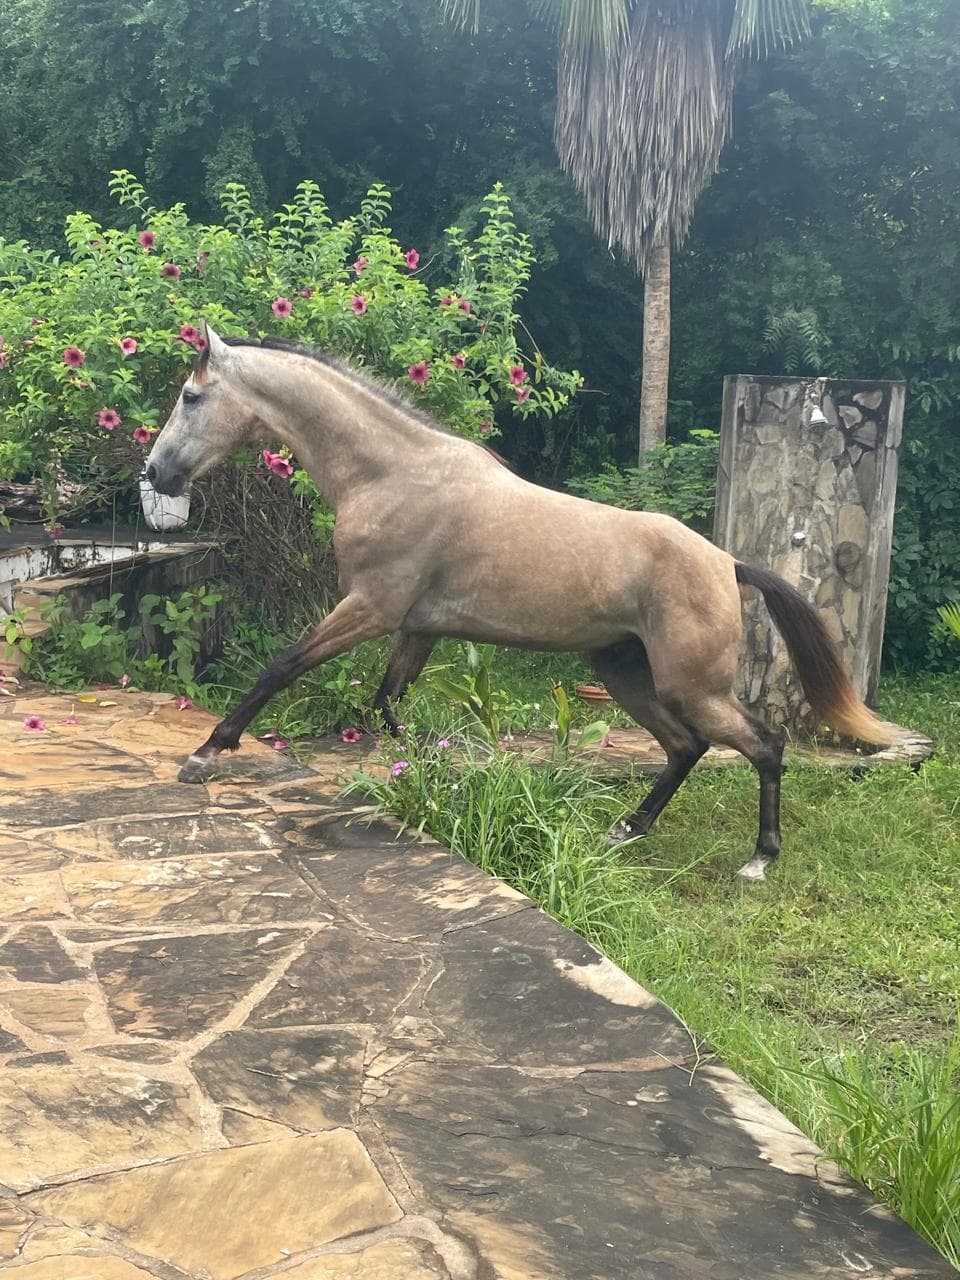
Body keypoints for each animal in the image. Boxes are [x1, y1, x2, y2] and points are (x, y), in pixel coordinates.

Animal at [145, 326, 891, 880]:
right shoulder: (415, 628)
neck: (392, 474)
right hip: (623, 671)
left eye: (190, 396)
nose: (156, 473)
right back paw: (626, 830)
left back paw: (758, 859)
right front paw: (428, 777)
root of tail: (727, 563)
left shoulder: (369, 609)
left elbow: (283, 667)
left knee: (762, 745)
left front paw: (206, 753)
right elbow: (390, 703)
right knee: (685, 748)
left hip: (691, 686)